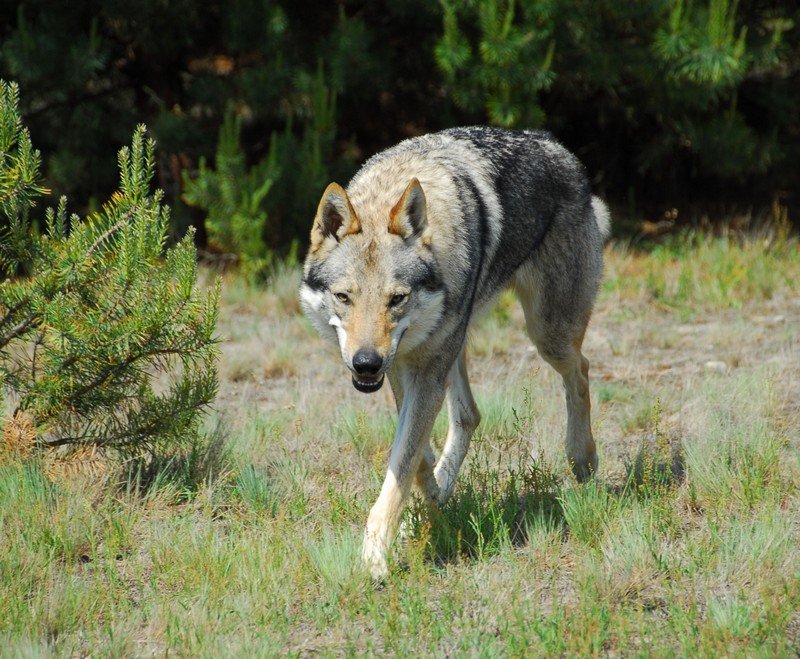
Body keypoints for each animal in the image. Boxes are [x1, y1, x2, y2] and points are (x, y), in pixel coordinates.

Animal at [296, 127, 608, 576]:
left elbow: (403, 462)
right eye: (343, 297)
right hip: (456, 346)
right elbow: (413, 455)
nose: (366, 363)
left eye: (396, 299)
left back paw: (582, 459)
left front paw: (374, 557)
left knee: (580, 371)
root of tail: (556, 147)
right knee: (469, 414)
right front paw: (427, 499)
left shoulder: (423, 372)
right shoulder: (403, 367)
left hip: (548, 335)